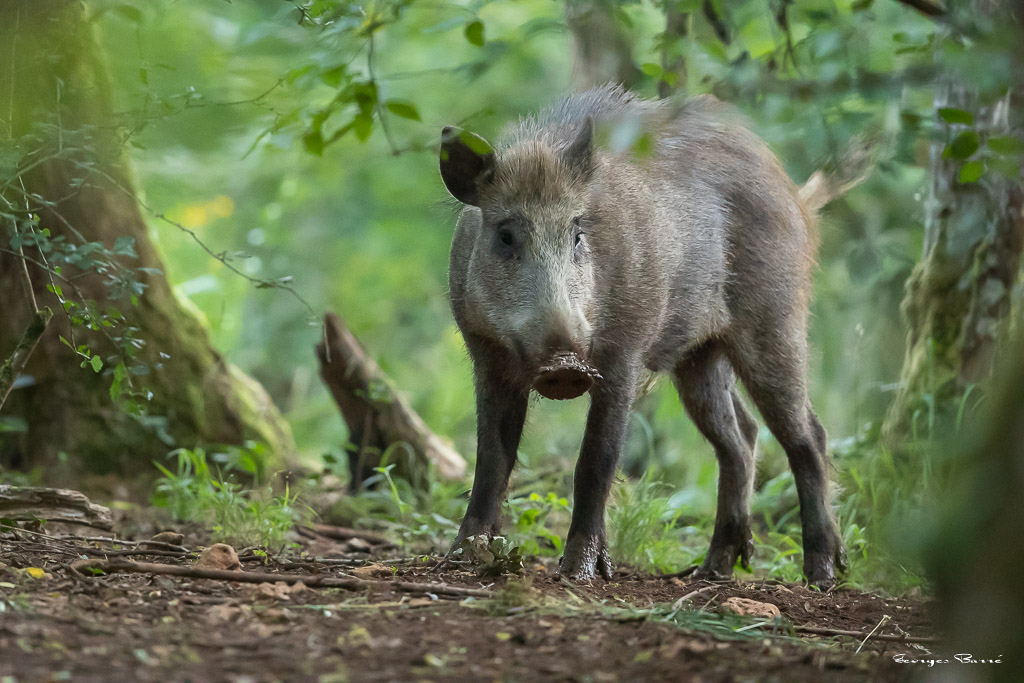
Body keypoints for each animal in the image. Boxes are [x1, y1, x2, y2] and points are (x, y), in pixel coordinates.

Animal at [439, 84, 849, 587]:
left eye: (578, 233)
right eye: (505, 235)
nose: (564, 365)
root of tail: (794, 195)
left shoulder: (624, 354)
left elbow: (595, 461)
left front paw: (580, 574)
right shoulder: (486, 354)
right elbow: (491, 461)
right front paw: (459, 560)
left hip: (777, 322)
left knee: (809, 436)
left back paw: (821, 575)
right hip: (699, 357)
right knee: (741, 438)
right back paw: (710, 572)